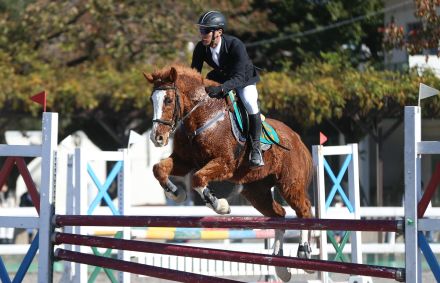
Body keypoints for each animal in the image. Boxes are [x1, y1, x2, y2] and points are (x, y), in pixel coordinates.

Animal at [144, 65, 312, 282]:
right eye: (151, 100)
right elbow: (159, 169)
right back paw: (280, 265)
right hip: (256, 192)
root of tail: (298, 139)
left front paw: (219, 205)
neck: (201, 116)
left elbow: (198, 178)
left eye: (168, 100)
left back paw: (304, 253)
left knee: (304, 211)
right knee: (279, 214)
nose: (157, 138)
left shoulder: (225, 164)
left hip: (290, 185)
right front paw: (176, 193)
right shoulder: (184, 162)